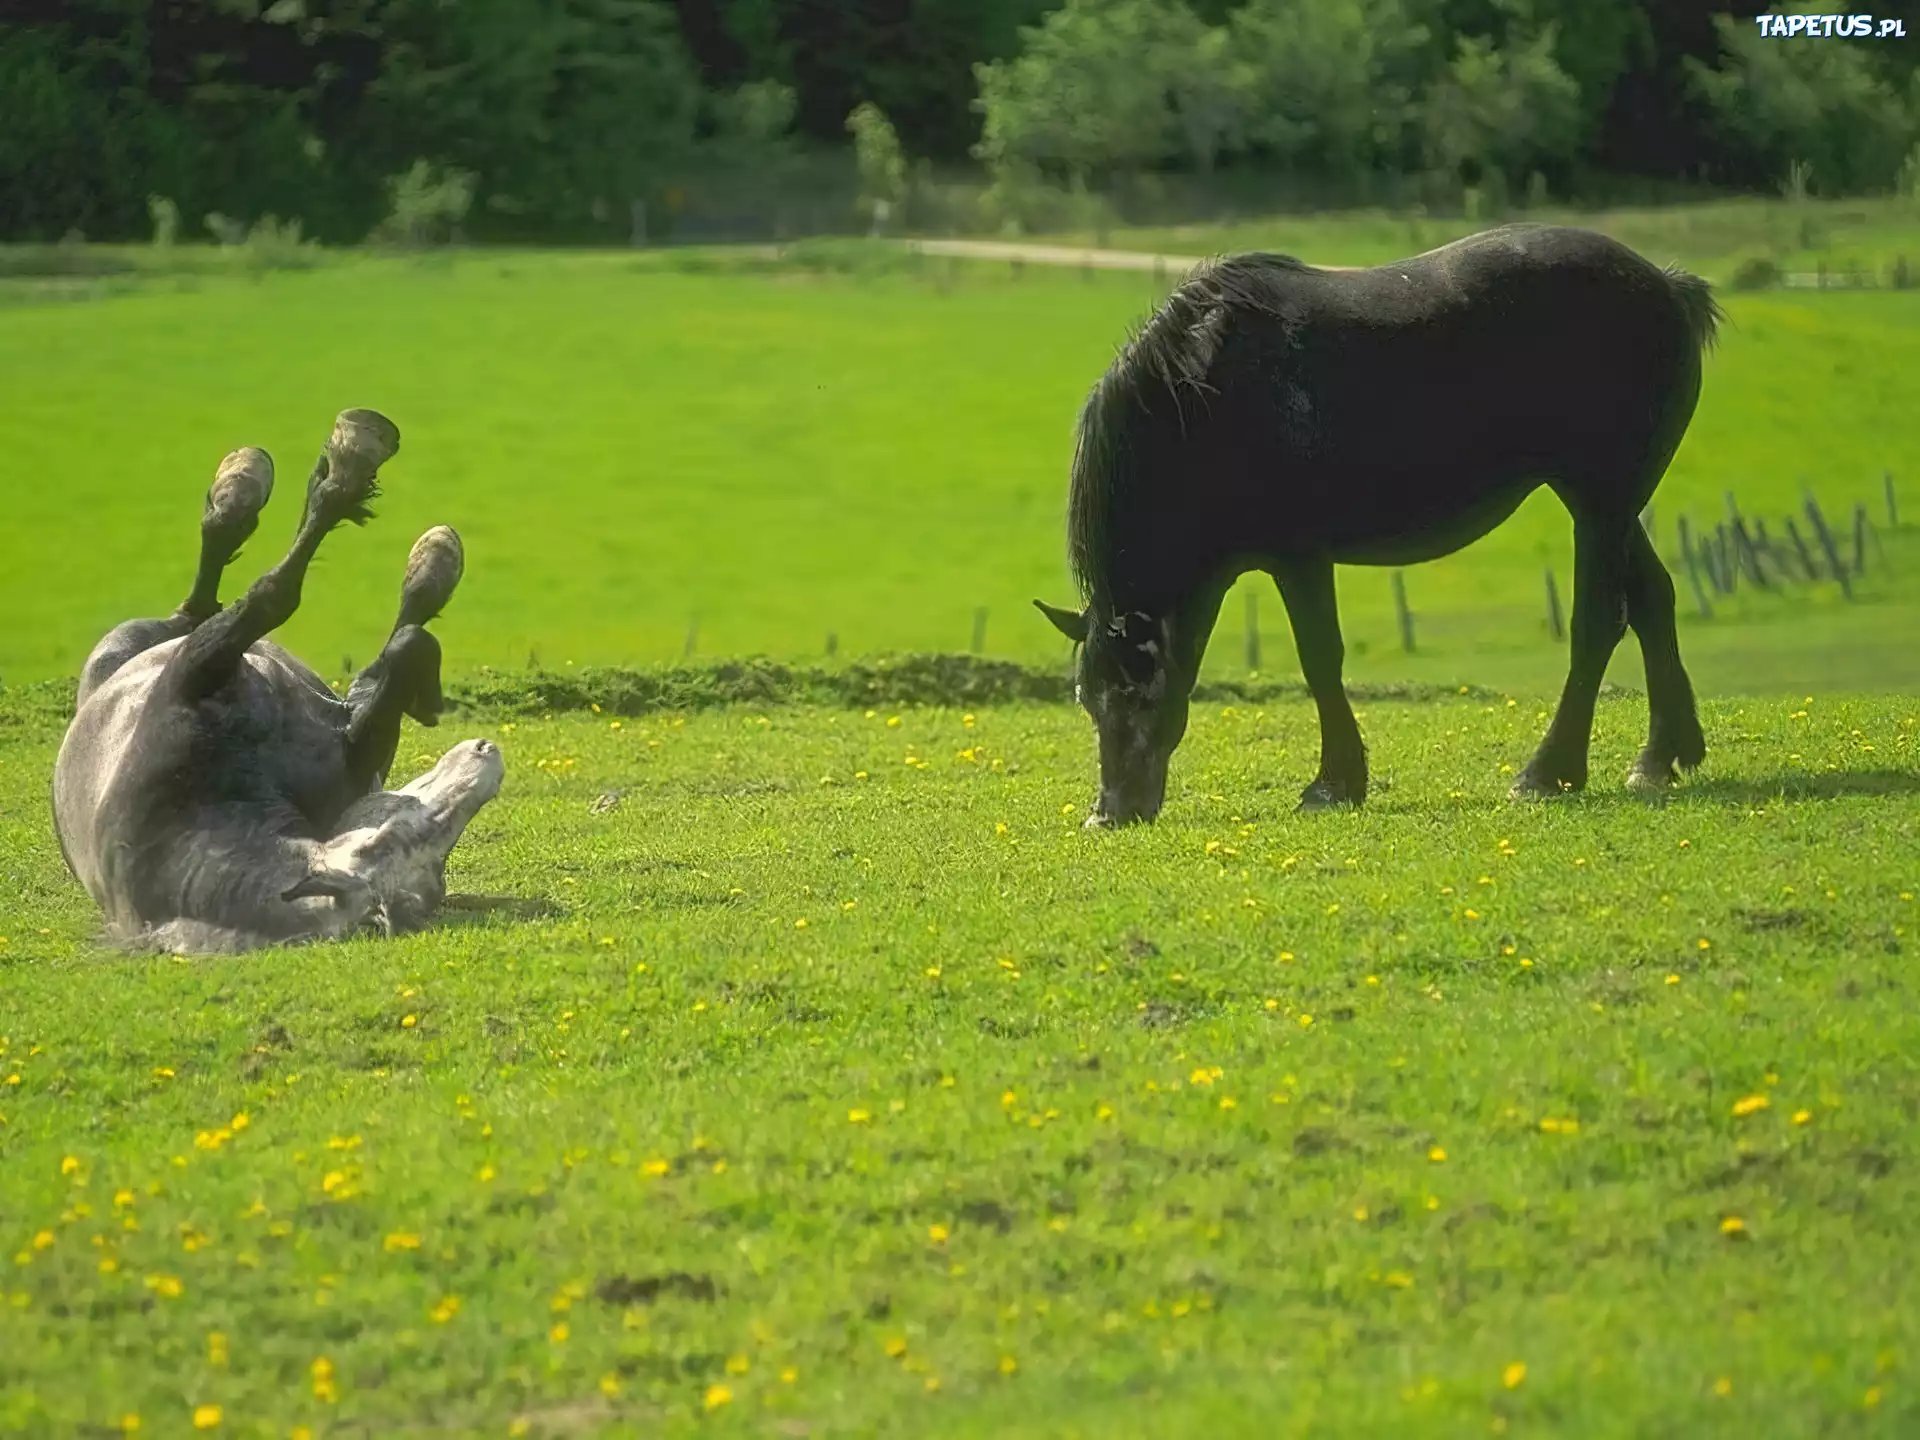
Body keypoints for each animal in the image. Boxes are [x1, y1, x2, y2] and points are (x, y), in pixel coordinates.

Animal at [53, 408, 506, 960]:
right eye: (392, 842)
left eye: (439, 868)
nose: (488, 757)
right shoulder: (195, 670)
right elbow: (278, 594)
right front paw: (346, 473)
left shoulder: (354, 749)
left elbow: (393, 656)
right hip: (155, 638)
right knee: (208, 591)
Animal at [1036, 228, 1728, 833]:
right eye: (1088, 700)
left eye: (1139, 693)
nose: (1109, 814)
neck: (1209, 395)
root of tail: (1668, 286)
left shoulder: (1299, 556)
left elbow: (1321, 658)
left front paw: (1334, 784)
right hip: (1610, 506)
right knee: (1653, 600)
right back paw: (1661, 757)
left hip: (1598, 504)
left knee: (1599, 622)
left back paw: (1548, 773)